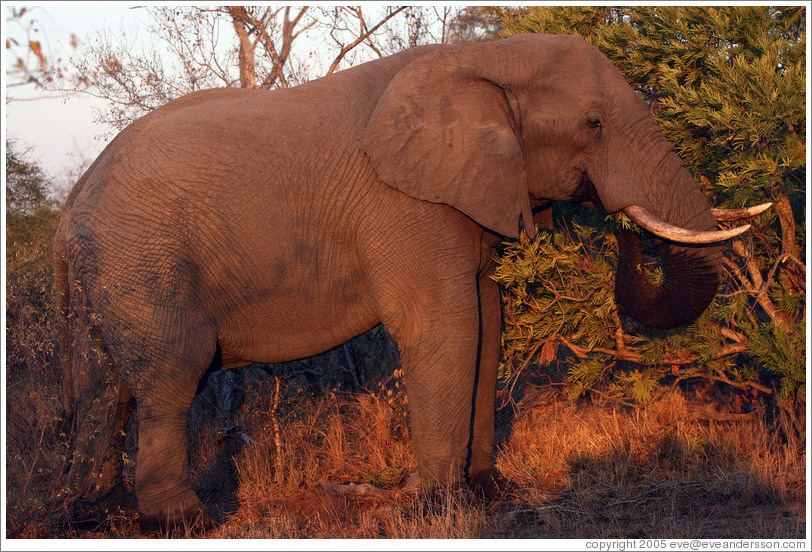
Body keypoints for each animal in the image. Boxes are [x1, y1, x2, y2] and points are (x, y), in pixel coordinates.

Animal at [54, 34, 764, 528]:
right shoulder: (402, 203)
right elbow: (445, 322)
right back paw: (185, 522)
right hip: (140, 260)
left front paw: (487, 492)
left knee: (102, 386)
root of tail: (71, 202)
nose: (620, 227)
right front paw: (433, 508)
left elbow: (486, 319)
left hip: (107, 273)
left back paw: (98, 515)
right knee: (171, 376)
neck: (484, 56)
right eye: (593, 122)